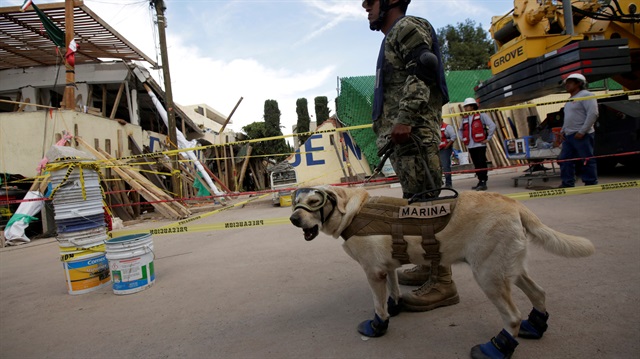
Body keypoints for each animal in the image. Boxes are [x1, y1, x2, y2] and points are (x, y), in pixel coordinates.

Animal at [290, 186, 596, 359]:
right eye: (294, 203)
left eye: (315, 202)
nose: (293, 218)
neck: (353, 212)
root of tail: (515, 204)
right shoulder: (387, 268)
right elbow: (394, 290)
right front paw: (395, 306)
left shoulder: (372, 272)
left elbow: (378, 305)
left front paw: (378, 326)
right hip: (509, 267)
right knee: (539, 293)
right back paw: (535, 325)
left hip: (488, 275)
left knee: (512, 316)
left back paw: (496, 348)